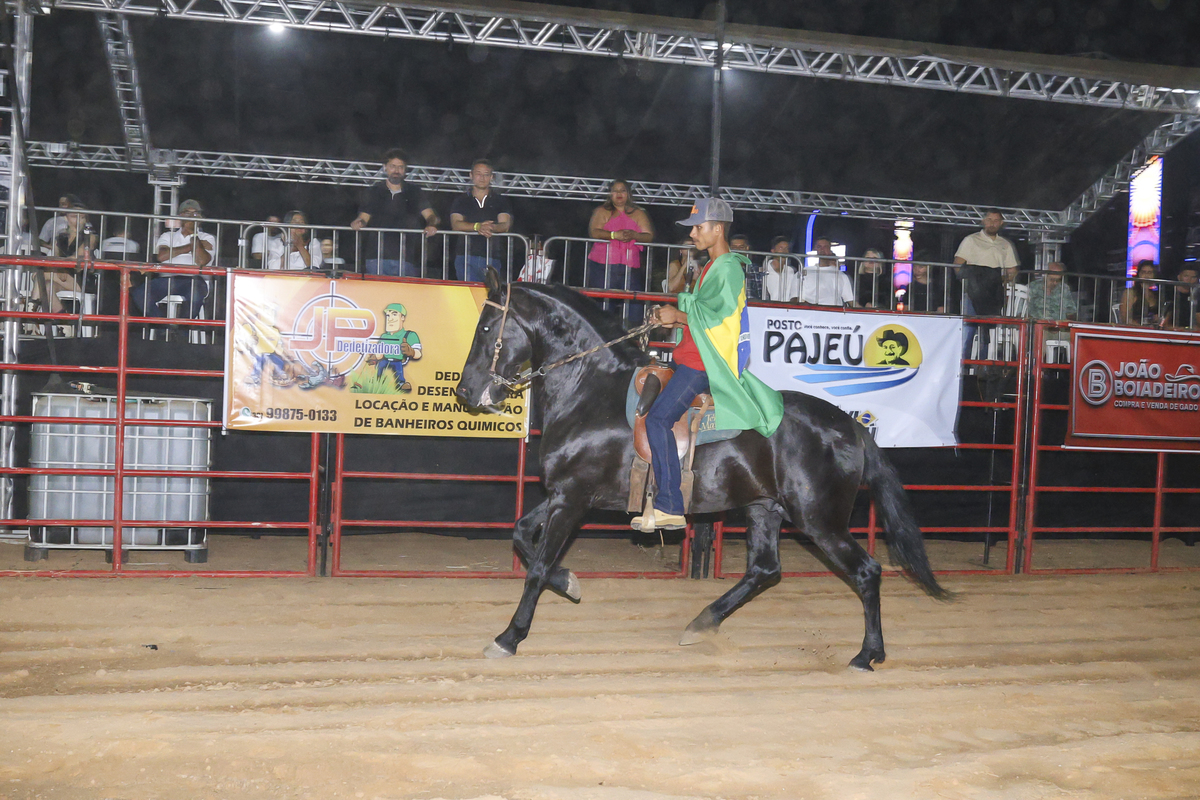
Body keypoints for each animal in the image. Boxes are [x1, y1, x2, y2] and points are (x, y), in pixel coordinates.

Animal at [455, 271, 947, 670]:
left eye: (486, 327)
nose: (465, 391)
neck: (591, 389)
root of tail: (850, 424)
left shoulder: (572, 498)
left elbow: (538, 566)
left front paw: (508, 637)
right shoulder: (563, 494)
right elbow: (522, 534)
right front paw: (571, 584)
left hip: (820, 520)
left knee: (866, 572)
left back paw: (868, 654)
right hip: (764, 509)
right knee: (765, 569)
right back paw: (701, 622)